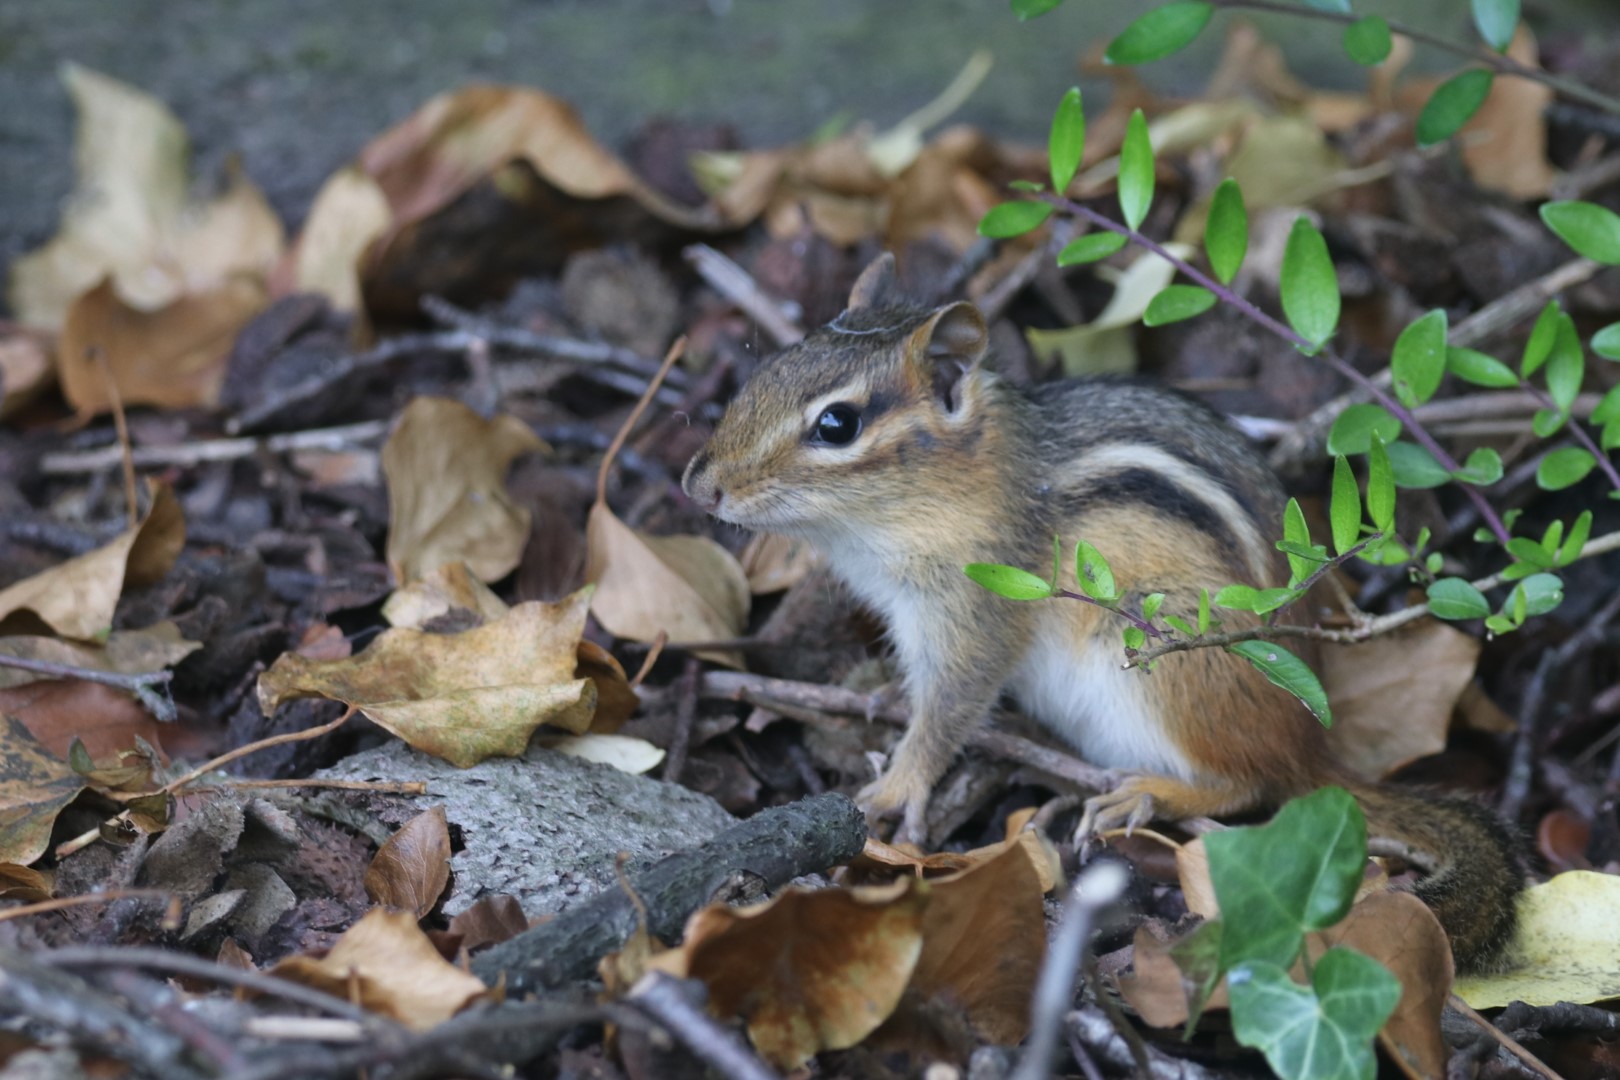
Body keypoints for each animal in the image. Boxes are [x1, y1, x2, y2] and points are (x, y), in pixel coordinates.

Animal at [682, 254, 1524, 972]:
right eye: (764, 371)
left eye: (837, 425)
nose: (700, 486)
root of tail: (1315, 747)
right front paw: (880, 702)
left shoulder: (978, 608)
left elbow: (953, 707)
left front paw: (898, 785)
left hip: (1161, 655)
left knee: (1254, 783)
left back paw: (1153, 792)